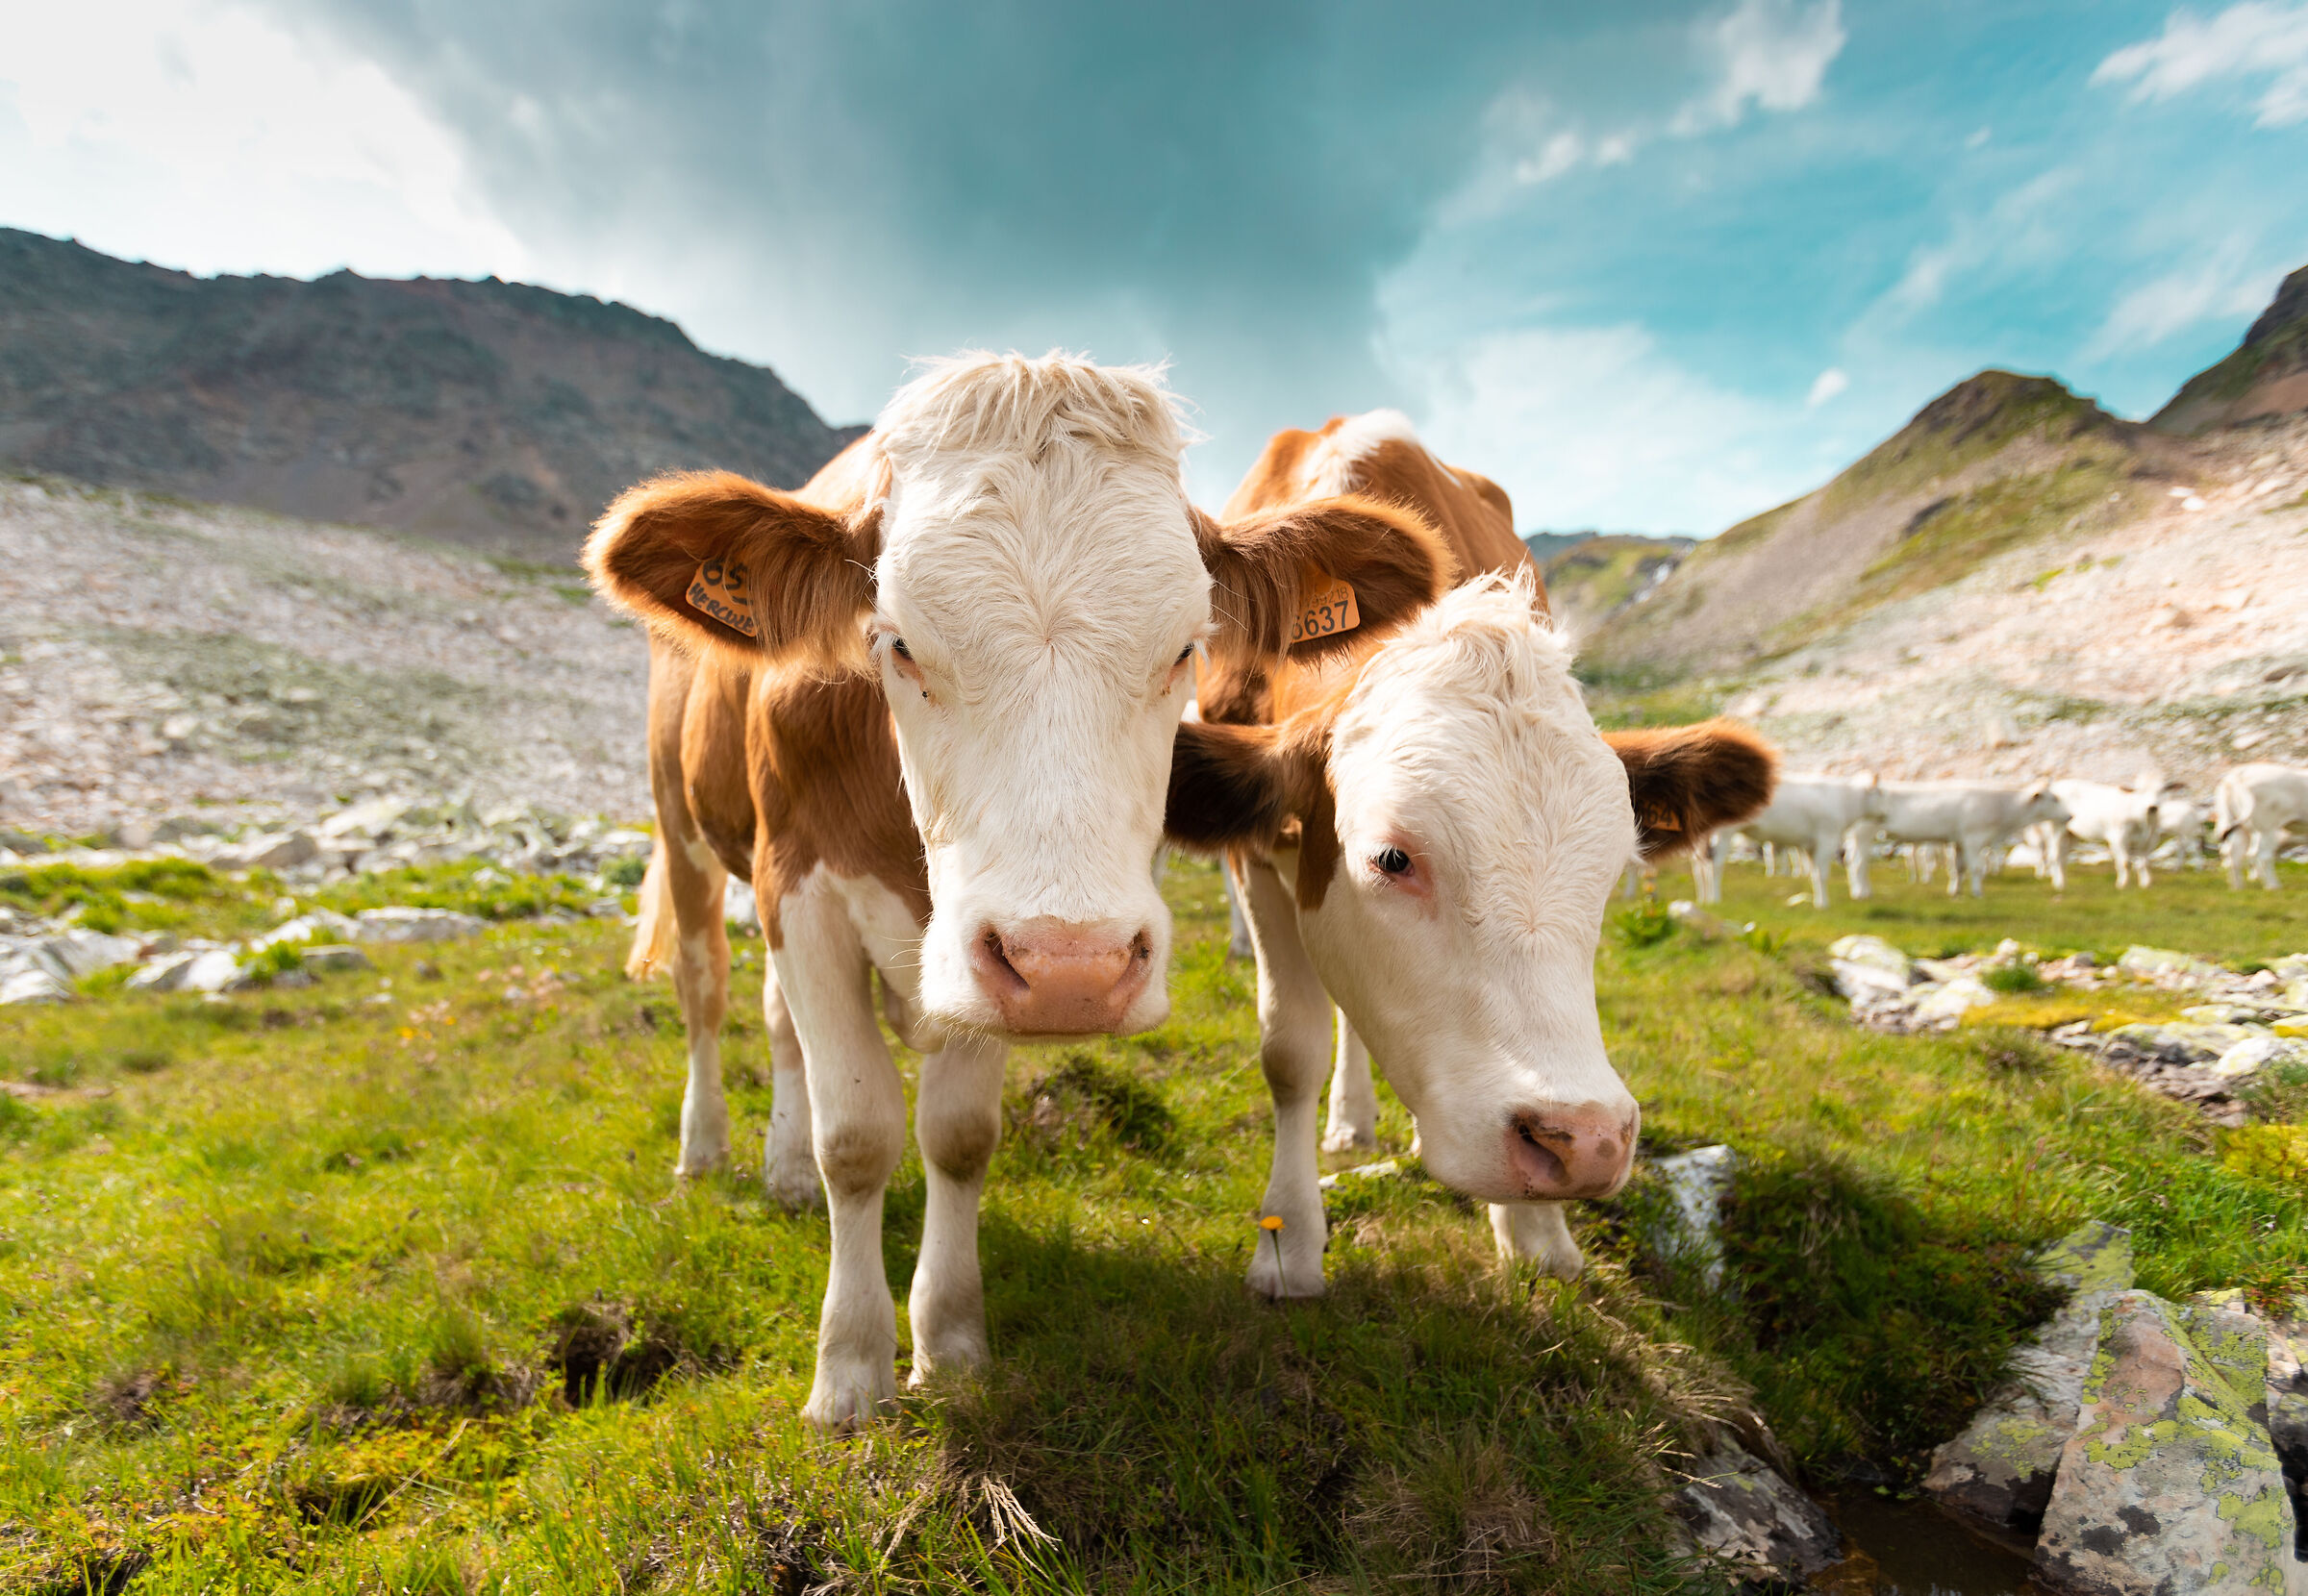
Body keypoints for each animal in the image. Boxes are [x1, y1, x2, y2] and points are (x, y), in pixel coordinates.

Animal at [585, 356, 1452, 1429]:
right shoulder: (805, 889)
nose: (1075, 965)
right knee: (706, 989)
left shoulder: (981, 959)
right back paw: (706, 1149)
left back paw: (781, 1170)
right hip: (686, 829)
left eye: (1186, 647)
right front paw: (850, 1368)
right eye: (896, 642)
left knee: (778, 1024)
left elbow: (955, 1137)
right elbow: (856, 1136)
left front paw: (949, 1341)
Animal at [1168, 413, 1774, 1288]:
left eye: (1612, 873)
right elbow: (1291, 1049)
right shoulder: (1256, 856)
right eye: (1391, 859)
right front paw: (1289, 1244)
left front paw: (1539, 1233)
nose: (1586, 1141)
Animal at [1697, 773, 1882, 907]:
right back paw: (1715, 898)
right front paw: (1823, 903)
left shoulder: (1808, 843)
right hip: (1724, 833)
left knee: (1702, 865)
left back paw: (1705, 899)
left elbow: (1810, 869)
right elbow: (1820, 872)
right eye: (1880, 793)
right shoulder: (1825, 838)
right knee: (1715, 864)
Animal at [1873, 780, 2069, 898]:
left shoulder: (1960, 842)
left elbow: (1959, 868)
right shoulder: (1973, 839)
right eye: (2054, 798)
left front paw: (1955, 891)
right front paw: (1977, 892)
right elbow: (1975, 868)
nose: (2069, 816)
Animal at [2216, 763, 2308, 889]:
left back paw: (2238, 887)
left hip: (2238, 826)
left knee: (2233, 854)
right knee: (2261, 855)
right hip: (2265, 828)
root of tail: (2238, 773)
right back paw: (2273, 886)